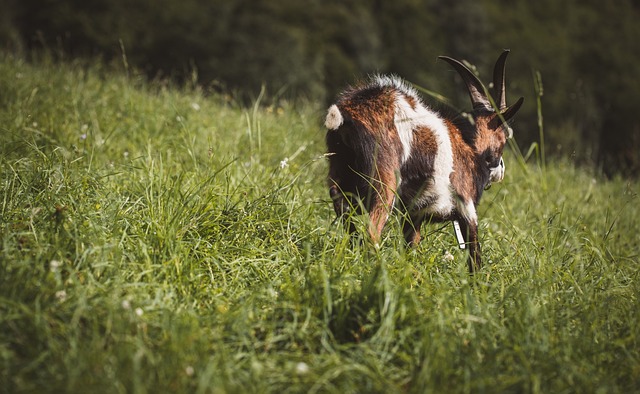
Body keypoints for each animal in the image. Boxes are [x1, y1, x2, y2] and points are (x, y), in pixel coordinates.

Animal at [322, 50, 524, 270]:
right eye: (504, 137)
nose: (501, 169)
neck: (468, 144)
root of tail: (346, 116)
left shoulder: (413, 215)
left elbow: (411, 246)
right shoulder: (467, 208)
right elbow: (475, 257)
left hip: (340, 169)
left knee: (340, 203)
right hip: (385, 181)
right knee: (372, 231)